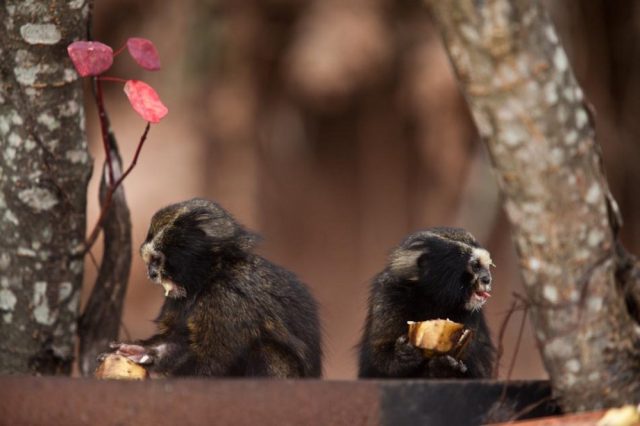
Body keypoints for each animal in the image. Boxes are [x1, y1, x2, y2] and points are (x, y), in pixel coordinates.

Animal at [106, 198, 322, 378]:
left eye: (156, 261)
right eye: (150, 262)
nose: (150, 273)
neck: (212, 276)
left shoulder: (226, 298)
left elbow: (212, 361)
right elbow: (180, 341)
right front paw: (142, 352)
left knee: (268, 351)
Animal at [358, 227, 495, 379]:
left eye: (486, 267)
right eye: (475, 266)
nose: (487, 279)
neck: (433, 298)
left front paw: (443, 368)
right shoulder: (388, 294)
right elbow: (374, 366)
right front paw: (402, 356)